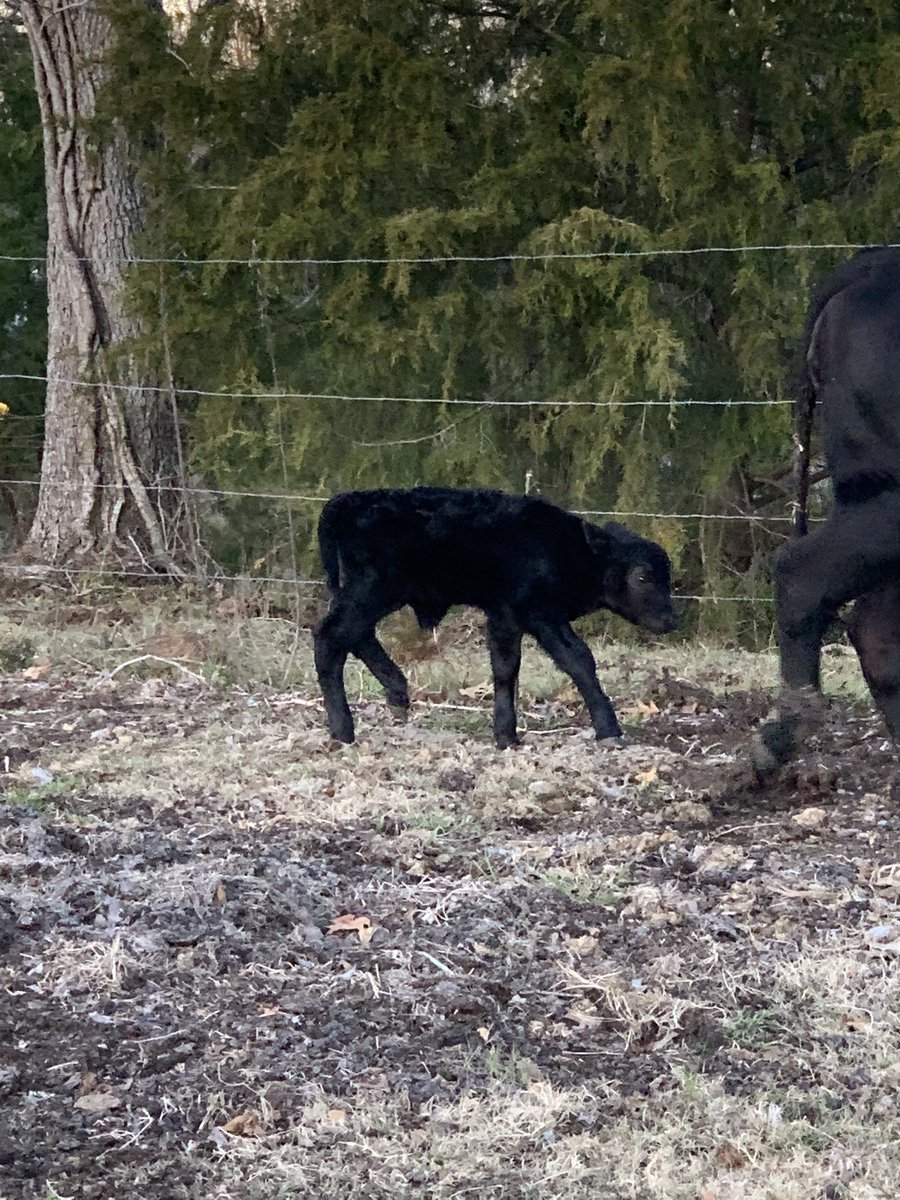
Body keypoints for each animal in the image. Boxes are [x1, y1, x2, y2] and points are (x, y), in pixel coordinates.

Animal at [314, 482, 676, 744]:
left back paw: (398, 694)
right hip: (373, 590)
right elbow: (566, 661)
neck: (566, 549)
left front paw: (506, 734)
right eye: (642, 577)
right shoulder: (529, 614)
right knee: (330, 636)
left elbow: (515, 666)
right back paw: (343, 730)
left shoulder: (516, 617)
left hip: (366, 594)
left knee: (357, 636)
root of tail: (354, 500)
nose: (671, 620)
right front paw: (607, 730)